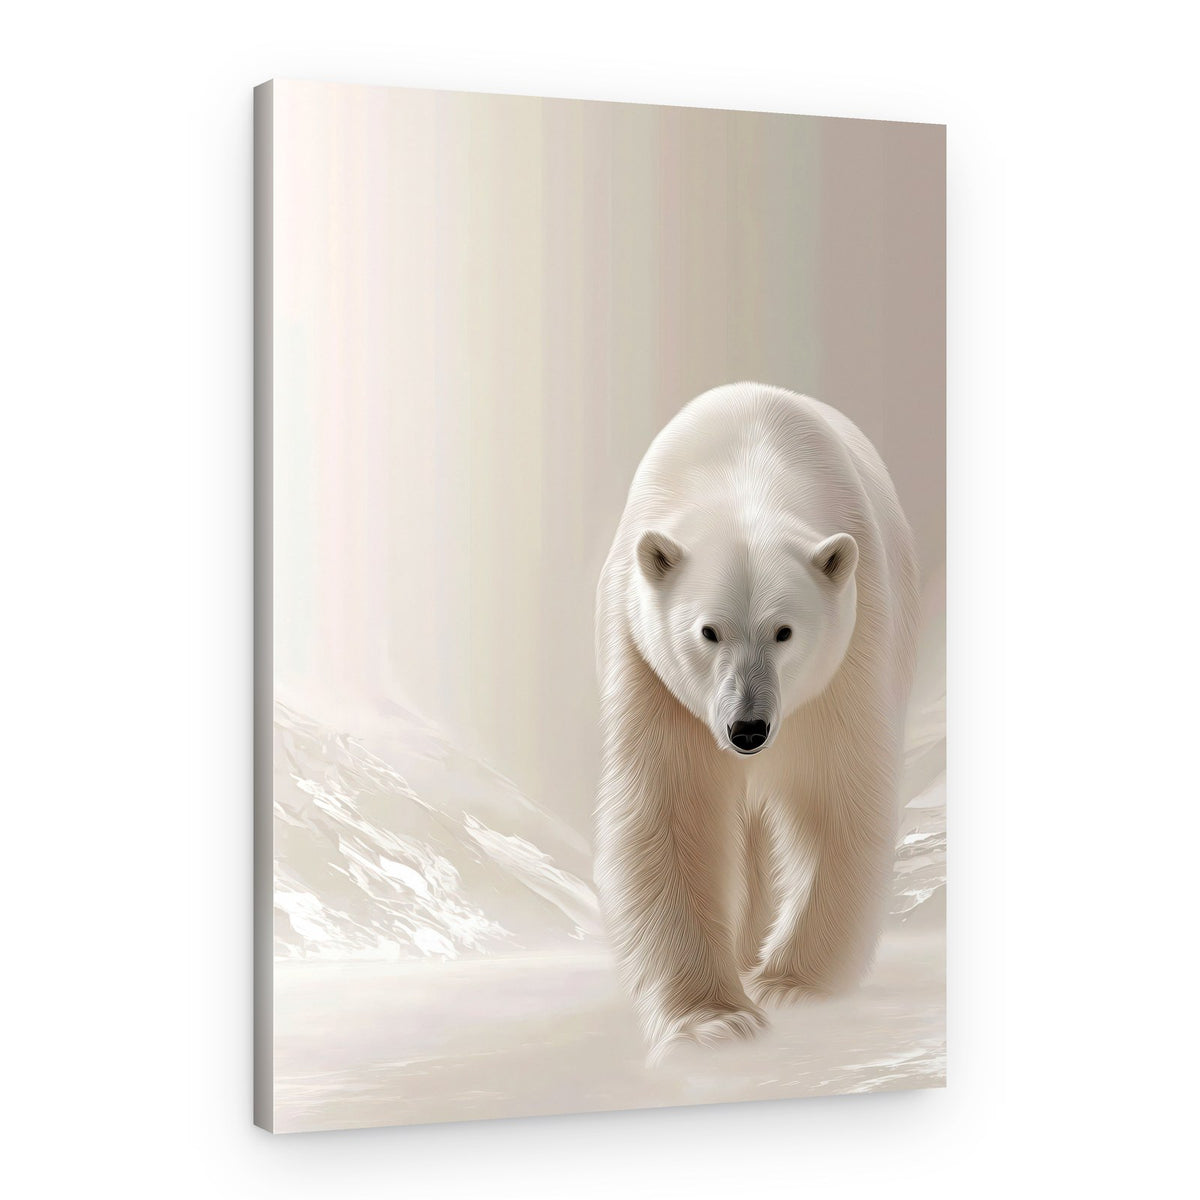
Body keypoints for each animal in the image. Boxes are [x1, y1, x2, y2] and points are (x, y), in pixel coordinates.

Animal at [594, 382, 920, 1061]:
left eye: (784, 631)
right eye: (708, 631)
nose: (748, 729)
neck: (748, 464)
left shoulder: (851, 647)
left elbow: (834, 795)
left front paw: (790, 986)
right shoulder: (647, 662)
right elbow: (670, 808)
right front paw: (714, 1020)